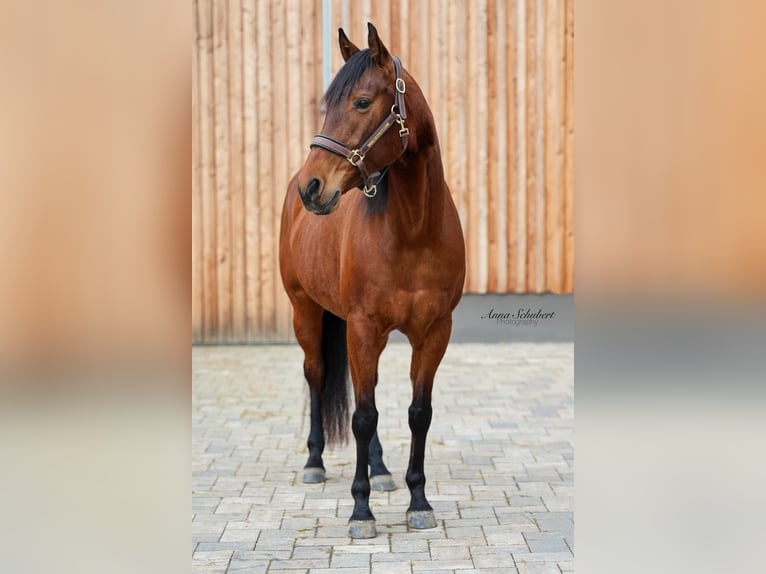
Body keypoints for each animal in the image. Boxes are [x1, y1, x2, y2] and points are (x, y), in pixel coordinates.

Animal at [279, 23, 466, 539]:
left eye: (362, 102)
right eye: (327, 104)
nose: (312, 188)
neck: (414, 229)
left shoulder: (433, 333)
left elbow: (417, 414)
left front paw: (418, 501)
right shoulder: (362, 328)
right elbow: (362, 417)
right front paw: (360, 511)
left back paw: (381, 471)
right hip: (306, 311)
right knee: (317, 375)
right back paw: (316, 463)